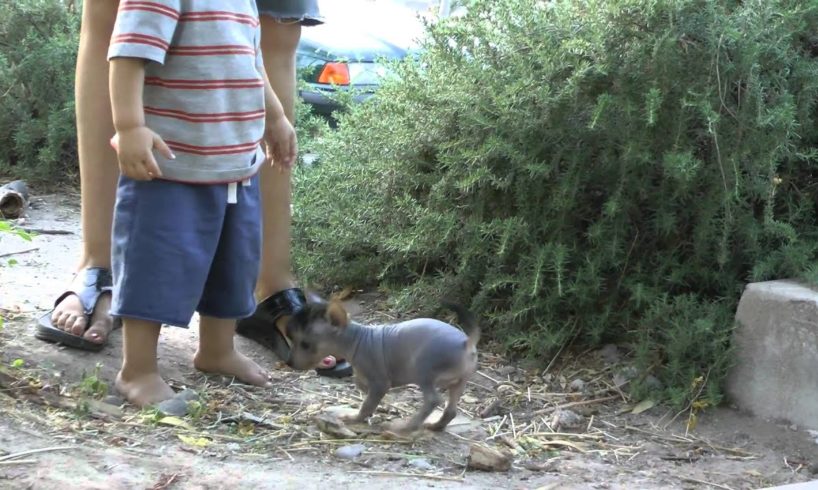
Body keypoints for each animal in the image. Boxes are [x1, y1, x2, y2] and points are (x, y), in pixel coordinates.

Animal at [286, 296, 478, 434]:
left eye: (305, 344)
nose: (290, 362)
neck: (358, 339)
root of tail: (466, 343)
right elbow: (363, 387)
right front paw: (369, 397)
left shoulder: (380, 382)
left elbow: (367, 403)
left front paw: (355, 418)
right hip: (459, 381)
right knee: (451, 409)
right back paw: (436, 426)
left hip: (424, 369)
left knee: (433, 399)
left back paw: (406, 427)